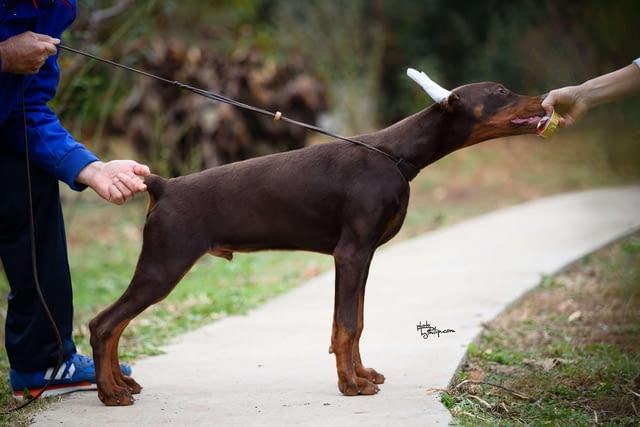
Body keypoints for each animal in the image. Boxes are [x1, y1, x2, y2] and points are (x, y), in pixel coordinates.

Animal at [89, 68, 544, 406]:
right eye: (500, 91)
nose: (544, 99)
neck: (395, 155)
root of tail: (164, 185)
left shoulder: (363, 257)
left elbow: (356, 321)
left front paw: (361, 374)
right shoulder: (351, 253)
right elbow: (346, 325)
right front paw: (351, 386)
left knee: (114, 325)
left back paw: (121, 384)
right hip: (165, 263)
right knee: (103, 323)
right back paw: (110, 392)